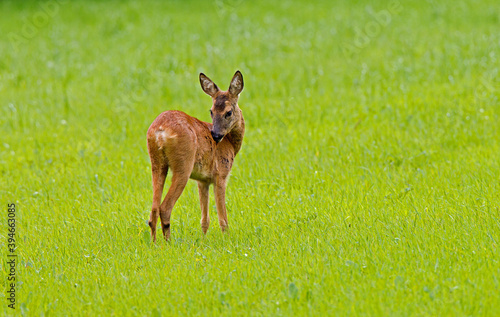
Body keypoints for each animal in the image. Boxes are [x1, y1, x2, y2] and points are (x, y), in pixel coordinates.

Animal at [146, 70, 245, 241]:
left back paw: (154, 243)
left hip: (157, 163)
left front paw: (203, 241)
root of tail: (159, 132)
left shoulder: (203, 180)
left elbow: (204, 219)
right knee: (164, 208)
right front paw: (227, 239)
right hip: (183, 165)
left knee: (153, 210)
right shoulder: (221, 174)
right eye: (211, 111)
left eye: (228, 112)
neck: (231, 144)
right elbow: (223, 219)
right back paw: (168, 243)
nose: (215, 135)